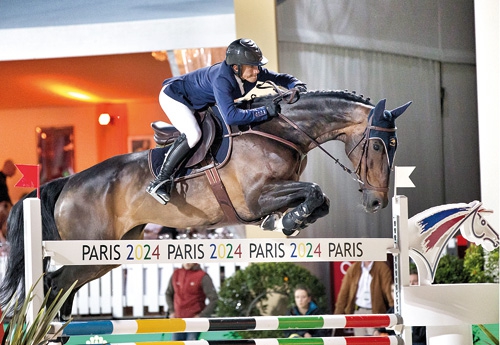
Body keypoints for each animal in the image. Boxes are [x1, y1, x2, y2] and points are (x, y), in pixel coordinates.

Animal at [0, 89, 410, 320]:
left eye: (395, 146)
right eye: (378, 145)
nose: (376, 201)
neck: (279, 131)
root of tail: (66, 183)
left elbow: (318, 199)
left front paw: (286, 221)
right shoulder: (255, 198)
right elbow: (313, 192)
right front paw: (289, 219)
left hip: (106, 254)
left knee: (61, 286)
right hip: (90, 248)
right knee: (54, 282)